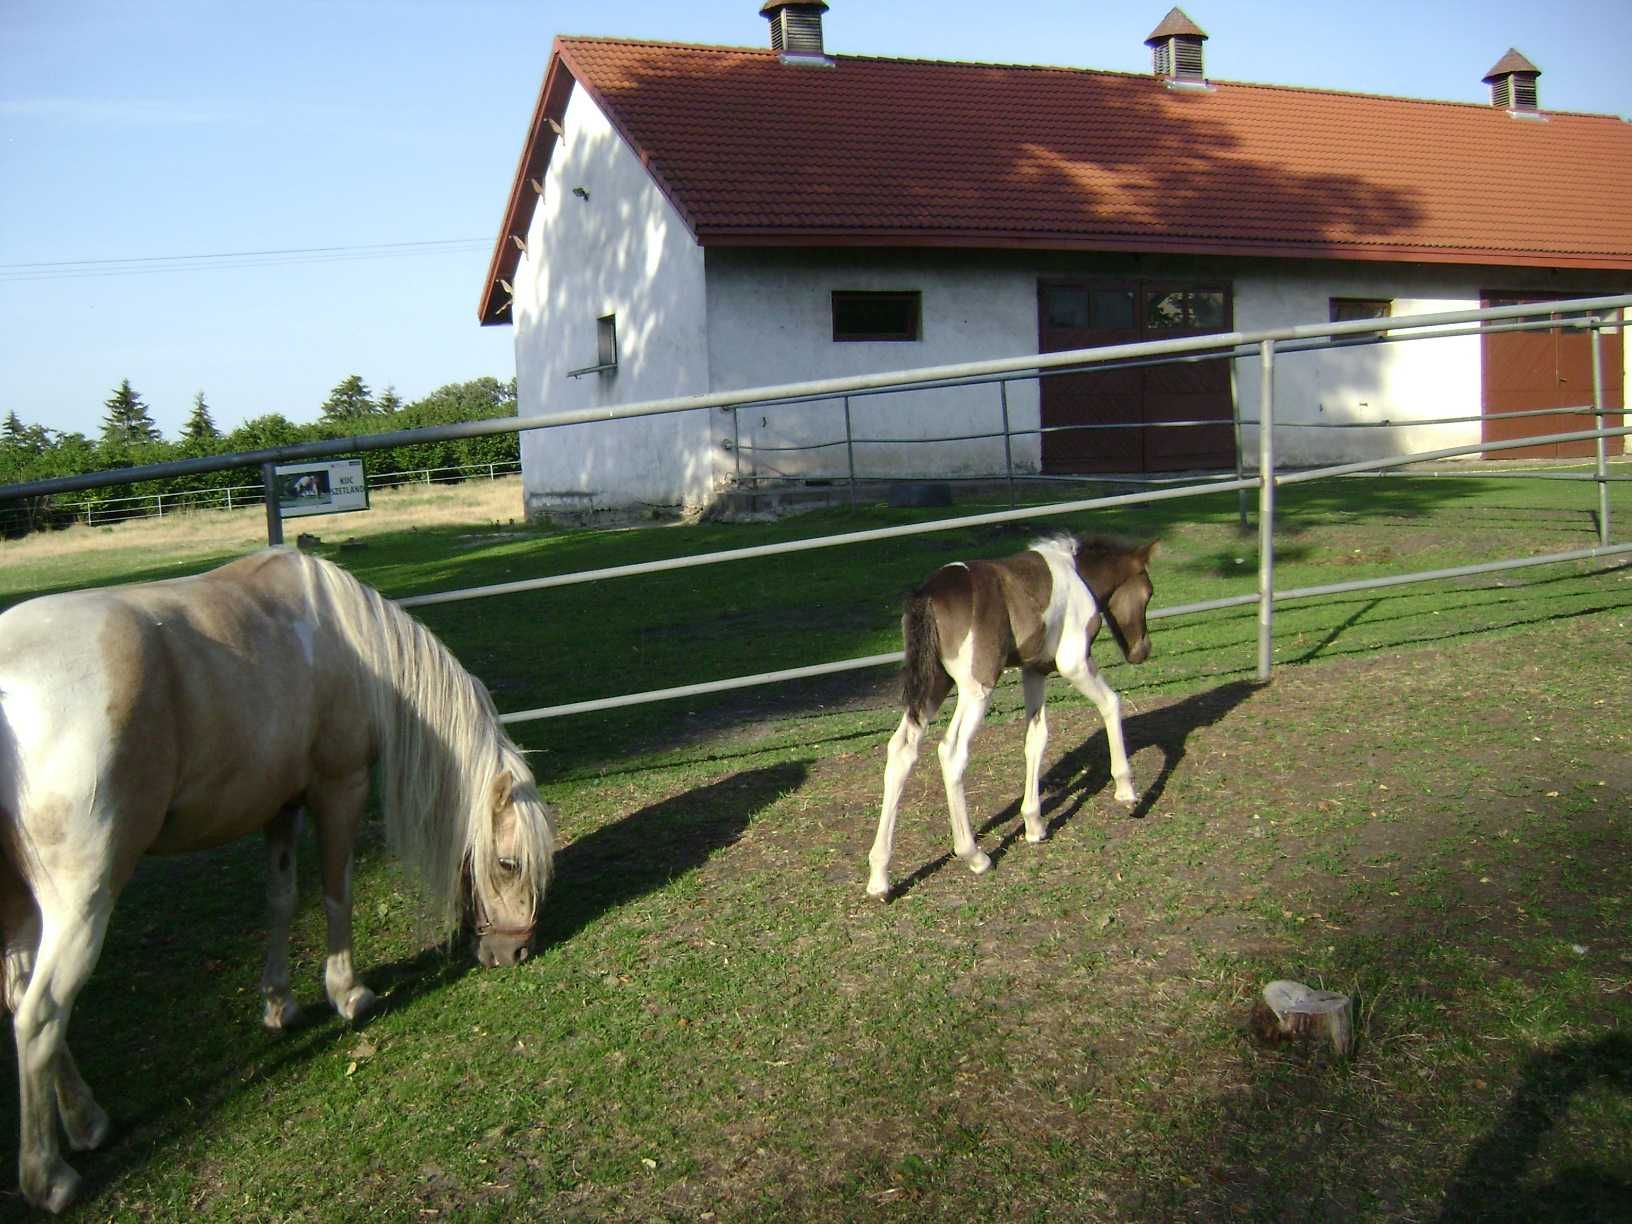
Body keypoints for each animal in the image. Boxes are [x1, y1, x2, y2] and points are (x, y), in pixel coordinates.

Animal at [0, 551, 558, 1214]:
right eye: (508, 864)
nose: (514, 952)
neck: (351, 645)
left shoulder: (282, 807)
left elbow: (282, 901)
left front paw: (279, 1003)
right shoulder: (338, 788)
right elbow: (336, 893)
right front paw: (349, 994)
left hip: (18, 905)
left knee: (22, 1000)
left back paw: (87, 1121)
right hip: (82, 901)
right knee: (40, 1015)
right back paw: (49, 1177)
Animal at [874, 535, 1155, 900]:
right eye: (1149, 592)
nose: (1142, 650)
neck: (1079, 574)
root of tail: (929, 593)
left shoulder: (1034, 669)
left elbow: (1036, 737)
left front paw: (1034, 825)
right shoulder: (1073, 662)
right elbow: (1111, 703)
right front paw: (1127, 790)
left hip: (933, 684)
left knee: (901, 749)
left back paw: (879, 877)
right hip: (975, 688)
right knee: (951, 752)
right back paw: (974, 856)